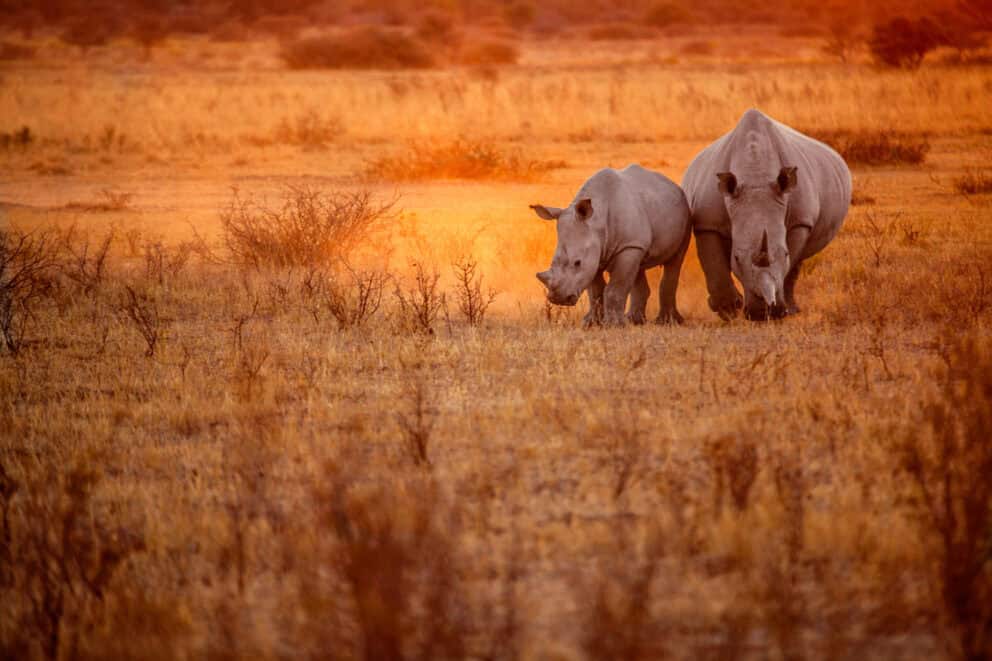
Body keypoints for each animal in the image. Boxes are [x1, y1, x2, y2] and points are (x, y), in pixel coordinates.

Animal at [531, 164, 691, 326]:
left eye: (577, 263)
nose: (558, 299)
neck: (596, 222)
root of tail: (675, 186)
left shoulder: (627, 246)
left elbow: (616, 288)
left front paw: (614, 325)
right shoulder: (597, 252)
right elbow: (595, 291)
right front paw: (591, 323)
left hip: (684, 213)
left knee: (675, 261)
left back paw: (667, 322)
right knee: (638, 266)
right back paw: (635, 320)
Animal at [682, 109, 851, 320]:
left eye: (785, 254)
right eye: (736, 258)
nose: (763, 313)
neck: (756, 177)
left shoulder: (800, 220)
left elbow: (790, 262)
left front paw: (778, 311)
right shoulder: (707, 221)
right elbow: (713, 261)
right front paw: (728, 310)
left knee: (800, 259)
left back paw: (792, 310)